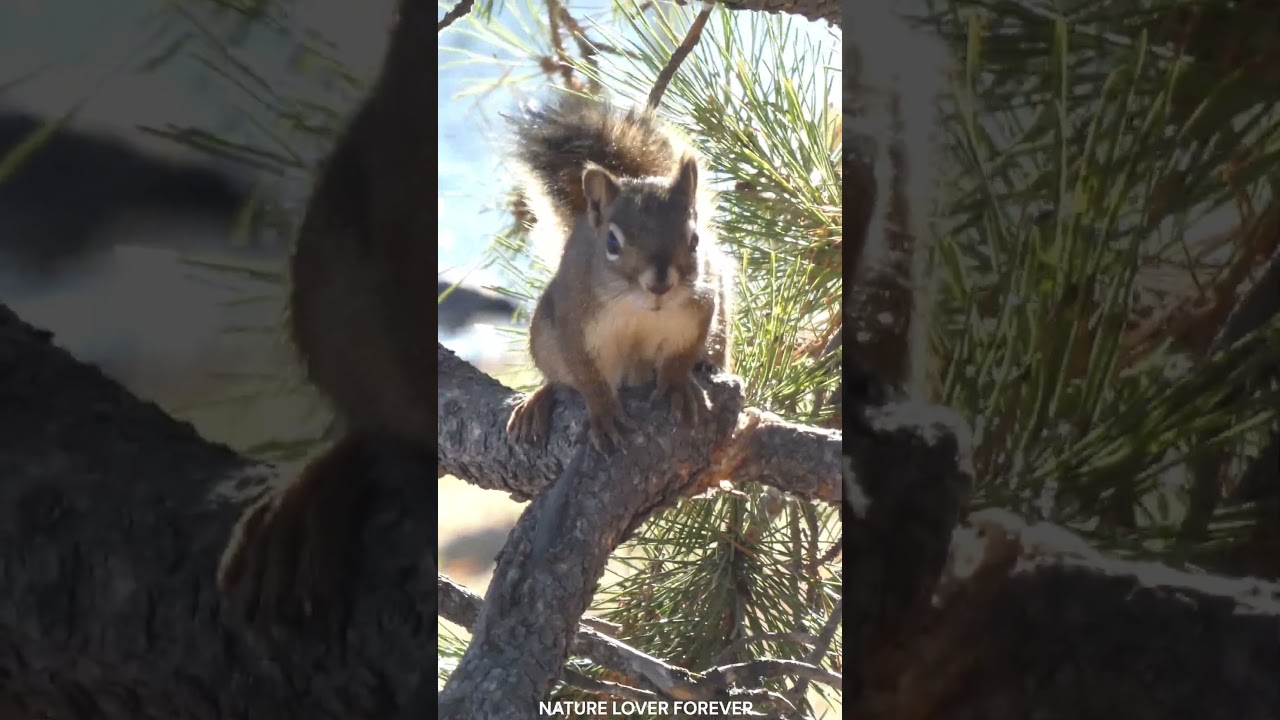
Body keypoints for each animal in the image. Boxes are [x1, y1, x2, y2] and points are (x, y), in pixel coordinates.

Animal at [504, 96, 734, 454]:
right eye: (612, 243)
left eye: (695, 241)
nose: (660, 283)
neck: (639, 311)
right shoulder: (576, 321)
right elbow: (589, 378)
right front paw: (604, 414)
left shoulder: (698, 312)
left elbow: (680, 357)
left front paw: (677, 387)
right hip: (543, 333)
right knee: (557, 377)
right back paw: (538, 401)